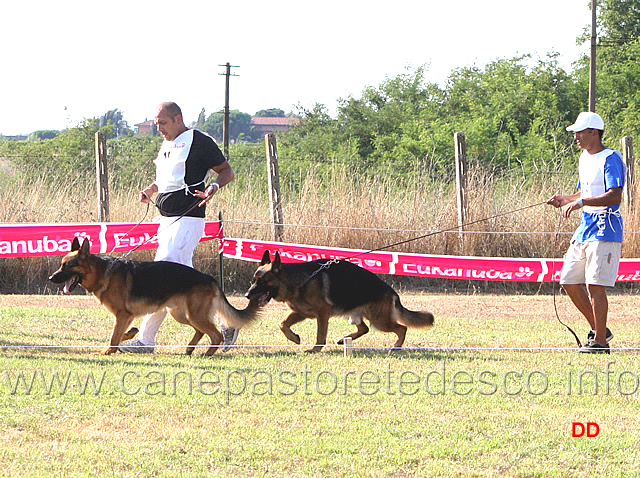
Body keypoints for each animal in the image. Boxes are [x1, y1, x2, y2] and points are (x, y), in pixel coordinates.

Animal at [48, 236, 262, 354]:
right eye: (61, 265)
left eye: (67, 266)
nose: (51, 278)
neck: (102, 272)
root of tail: (209, 278)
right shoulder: (125, 317)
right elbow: (119, 335)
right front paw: (127, 337)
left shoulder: (122, 315)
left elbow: (113, 336)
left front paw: (108, 351)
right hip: (182, 315)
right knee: (202, 331)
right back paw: (190, 348)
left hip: (194, 315)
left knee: (215, 335)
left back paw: (208, 353)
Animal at [245, 250, 436, 352]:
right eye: (253, 281)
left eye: (262, 282)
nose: (247, 295)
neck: (299, 280)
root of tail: (392, 291)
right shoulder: (300, 312)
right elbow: (283, 324)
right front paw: (294, 338)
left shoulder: (322, 313)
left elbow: (320, 334)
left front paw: (315, 350)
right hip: (356, 316)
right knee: (364, 328)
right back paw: (344, 339)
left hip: (380, 321)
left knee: (401, 328)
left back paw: (396, 346)